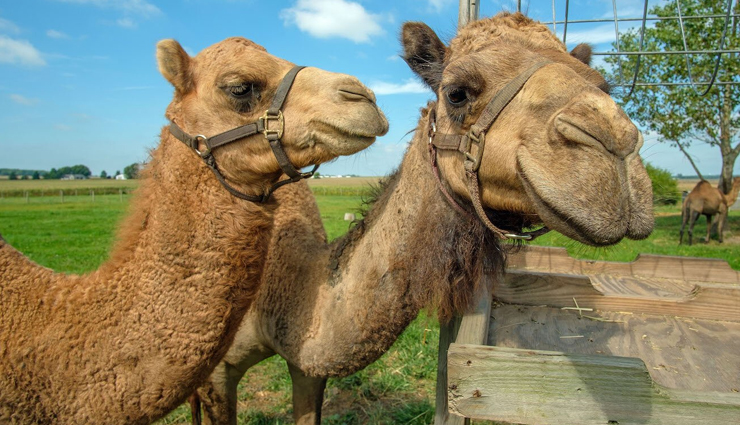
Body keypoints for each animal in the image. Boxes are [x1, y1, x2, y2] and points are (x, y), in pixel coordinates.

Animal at [189, 12, 654, 425]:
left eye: (604, 85)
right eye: (457, 93)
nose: (614, 144)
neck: (292, 281)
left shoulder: (306, 367)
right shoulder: (216, 370)